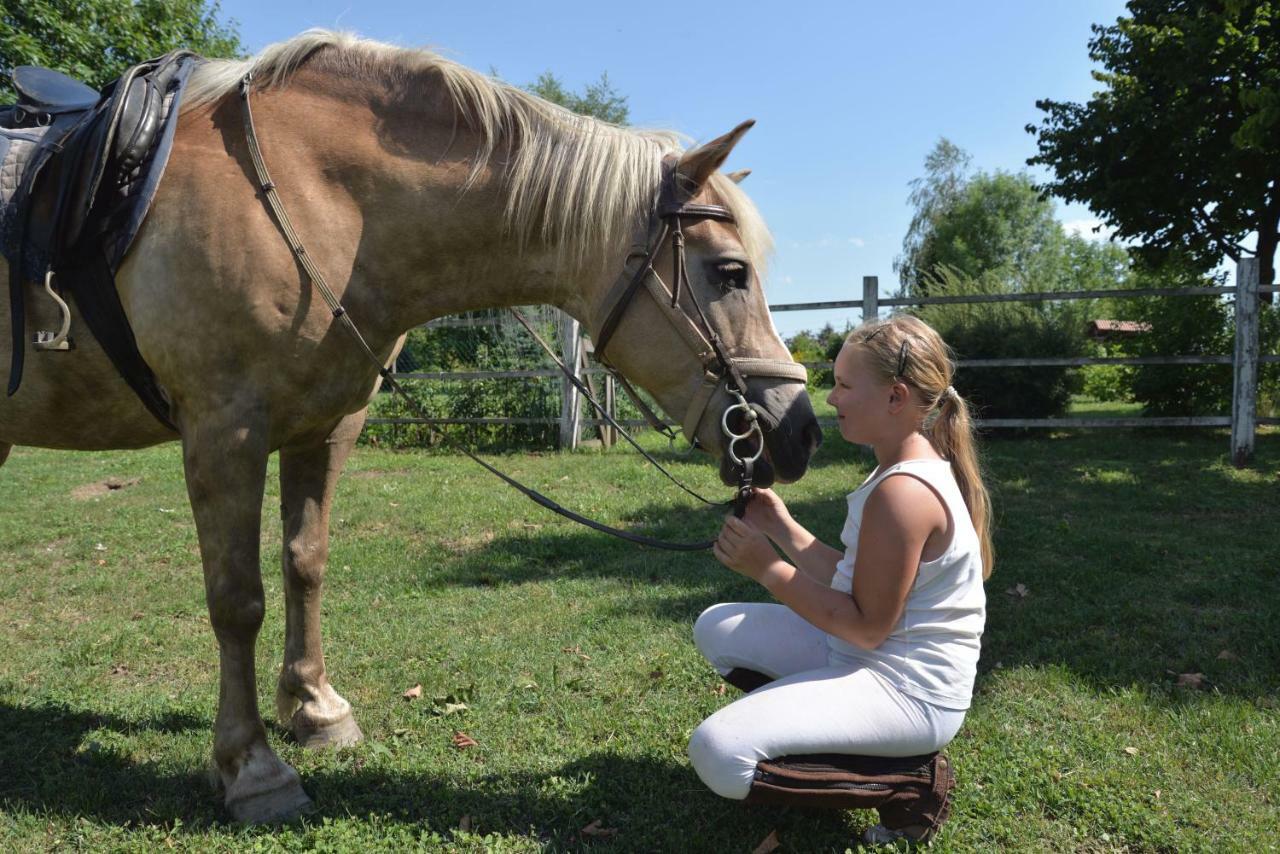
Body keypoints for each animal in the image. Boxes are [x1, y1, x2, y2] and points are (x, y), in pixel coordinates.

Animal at [0, 30, 819, 824]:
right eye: (731, 272)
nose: (798, 432)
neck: (309, 195)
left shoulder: (324, 428)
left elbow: (304, 564)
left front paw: (316, 711)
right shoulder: (223, 432)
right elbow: (238, 601)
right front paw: (253, 768)